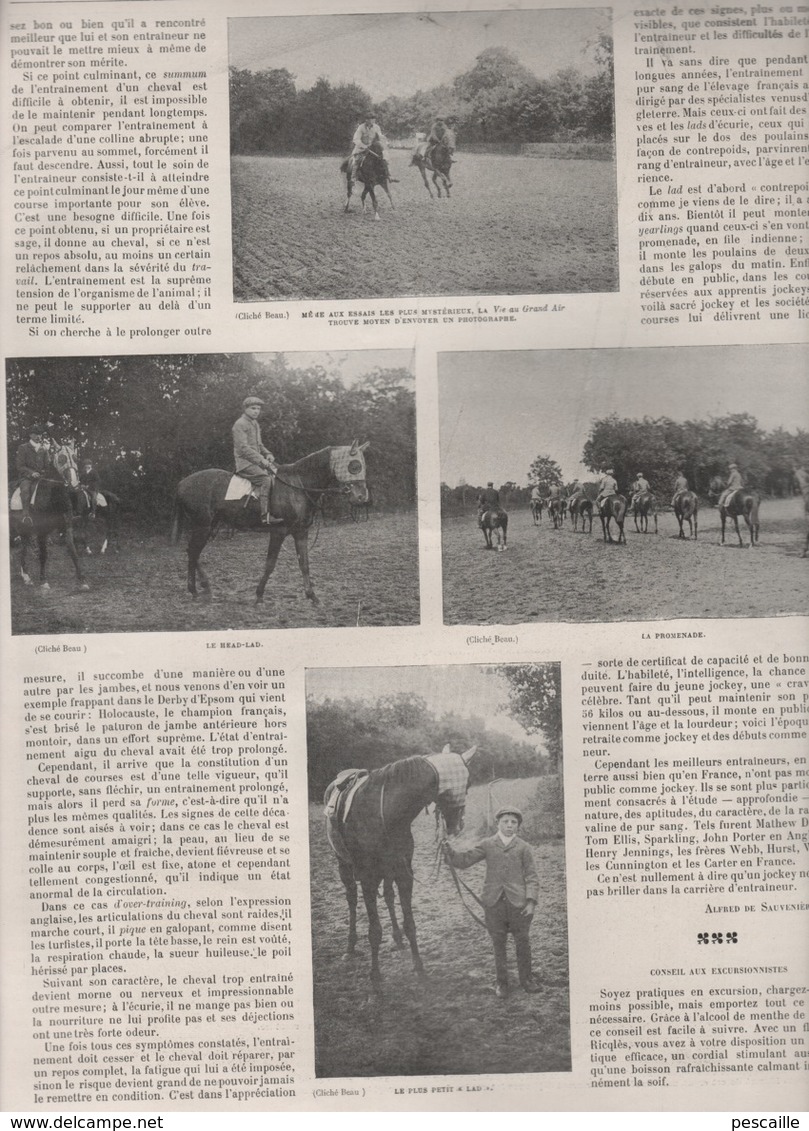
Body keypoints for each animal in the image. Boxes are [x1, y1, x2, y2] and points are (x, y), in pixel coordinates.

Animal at [8, 441, 88, 592]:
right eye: (61, 458)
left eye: (75, 458)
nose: (74, 485)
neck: (52, 493)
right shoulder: (42, 531)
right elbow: (43, 554)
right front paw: (44, 581)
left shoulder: (67, 526)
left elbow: (72, 550)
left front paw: (82, 580)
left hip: (23, 530)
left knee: (23, 548)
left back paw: (26, 576)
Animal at [175, 441, 371, 606]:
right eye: (355, 466)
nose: (362, 497)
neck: (297, 485)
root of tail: (181, 484)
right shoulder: (279, 532)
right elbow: (270, 564)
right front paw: (259, 595)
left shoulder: (301, 532)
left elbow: (304, 563)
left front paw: (312, 596)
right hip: (203, 526)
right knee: (193, 552)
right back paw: (195, 590)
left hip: (210, 526)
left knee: (192, 552)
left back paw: (204, 587)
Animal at [323, 741, 475, 990]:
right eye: (469, 783)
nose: (458, 824)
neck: (383, 812)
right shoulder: (367, 878)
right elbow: (374, 931)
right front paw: (375, 978)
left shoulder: (404, 873)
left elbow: (410, 923)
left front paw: (419, 968)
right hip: (344, 865)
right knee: (352, 901)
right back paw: (350, 947)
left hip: (388, 871)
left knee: (388, 896)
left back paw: (397, 938)